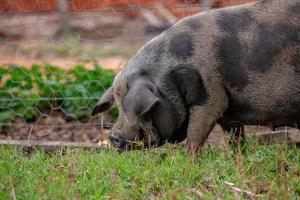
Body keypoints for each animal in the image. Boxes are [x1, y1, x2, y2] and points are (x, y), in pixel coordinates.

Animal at [92, 0, 298, 156]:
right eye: (118, 106)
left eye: (143, 111)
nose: (113, 138)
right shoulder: (229, 111)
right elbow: (234, 137)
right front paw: (237, 157)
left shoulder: (211, 97)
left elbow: (195, 132)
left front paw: (188, 159)